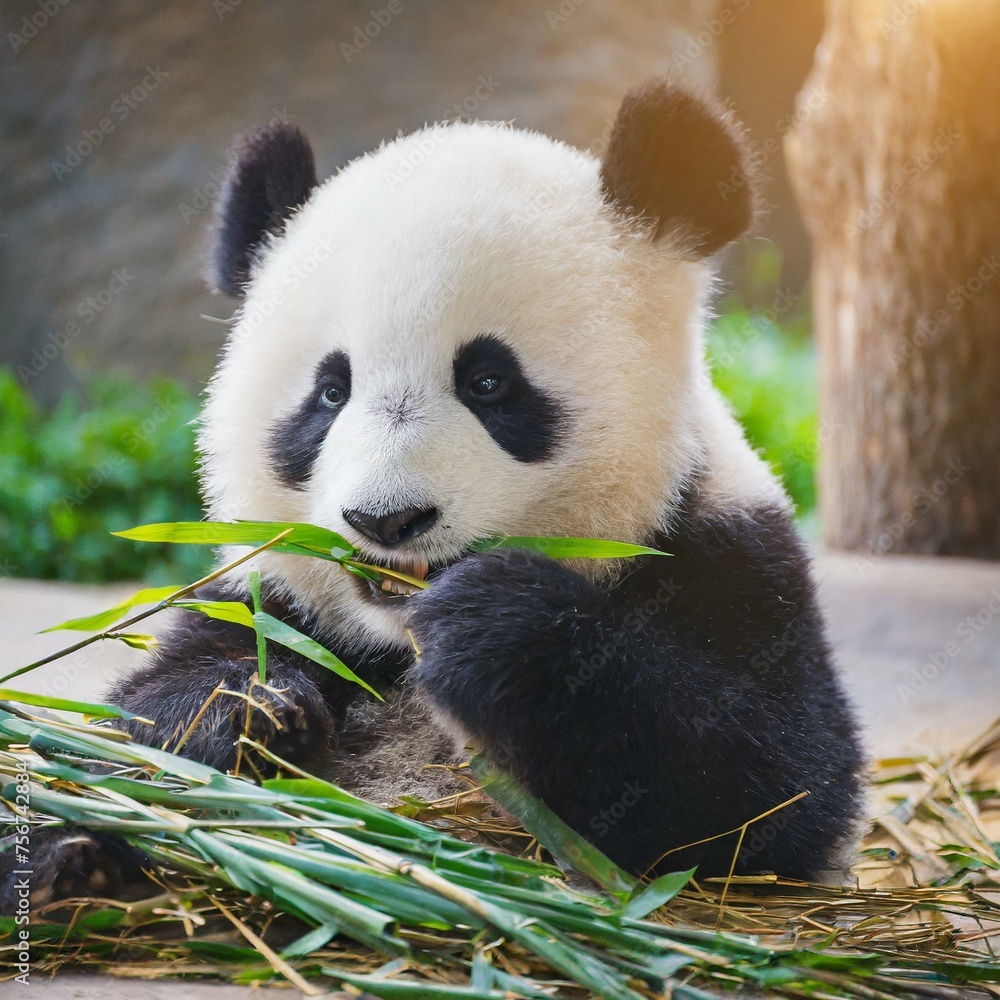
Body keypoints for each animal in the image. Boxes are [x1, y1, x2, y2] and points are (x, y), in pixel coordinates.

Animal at [7, 79, 866, 907]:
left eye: (488, 382)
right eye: (330, 392)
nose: (386, 520)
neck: (394, 637)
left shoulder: (726, 551)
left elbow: (770, 789)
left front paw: (499, 630)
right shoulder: (266, 588)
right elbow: (135, 716)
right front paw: (254, 705)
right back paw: (72, 866)